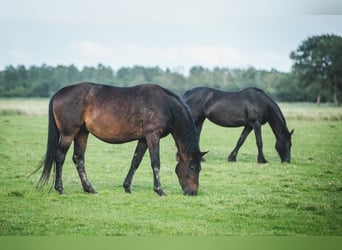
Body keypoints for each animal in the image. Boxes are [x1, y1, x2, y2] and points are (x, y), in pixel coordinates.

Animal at [35, 83, 206, 196]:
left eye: (199, 168)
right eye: (192, 167)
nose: (193, 192)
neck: (166, 105)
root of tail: (58, 93)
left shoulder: (143, 139)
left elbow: (135, 162)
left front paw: (127, 187)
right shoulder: (153, 136)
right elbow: (155, 163)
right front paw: (159, 190)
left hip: (82, 133)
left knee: (78, 159)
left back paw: (89, 188)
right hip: (68, 134)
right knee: (60, 157)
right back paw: (60, 189)